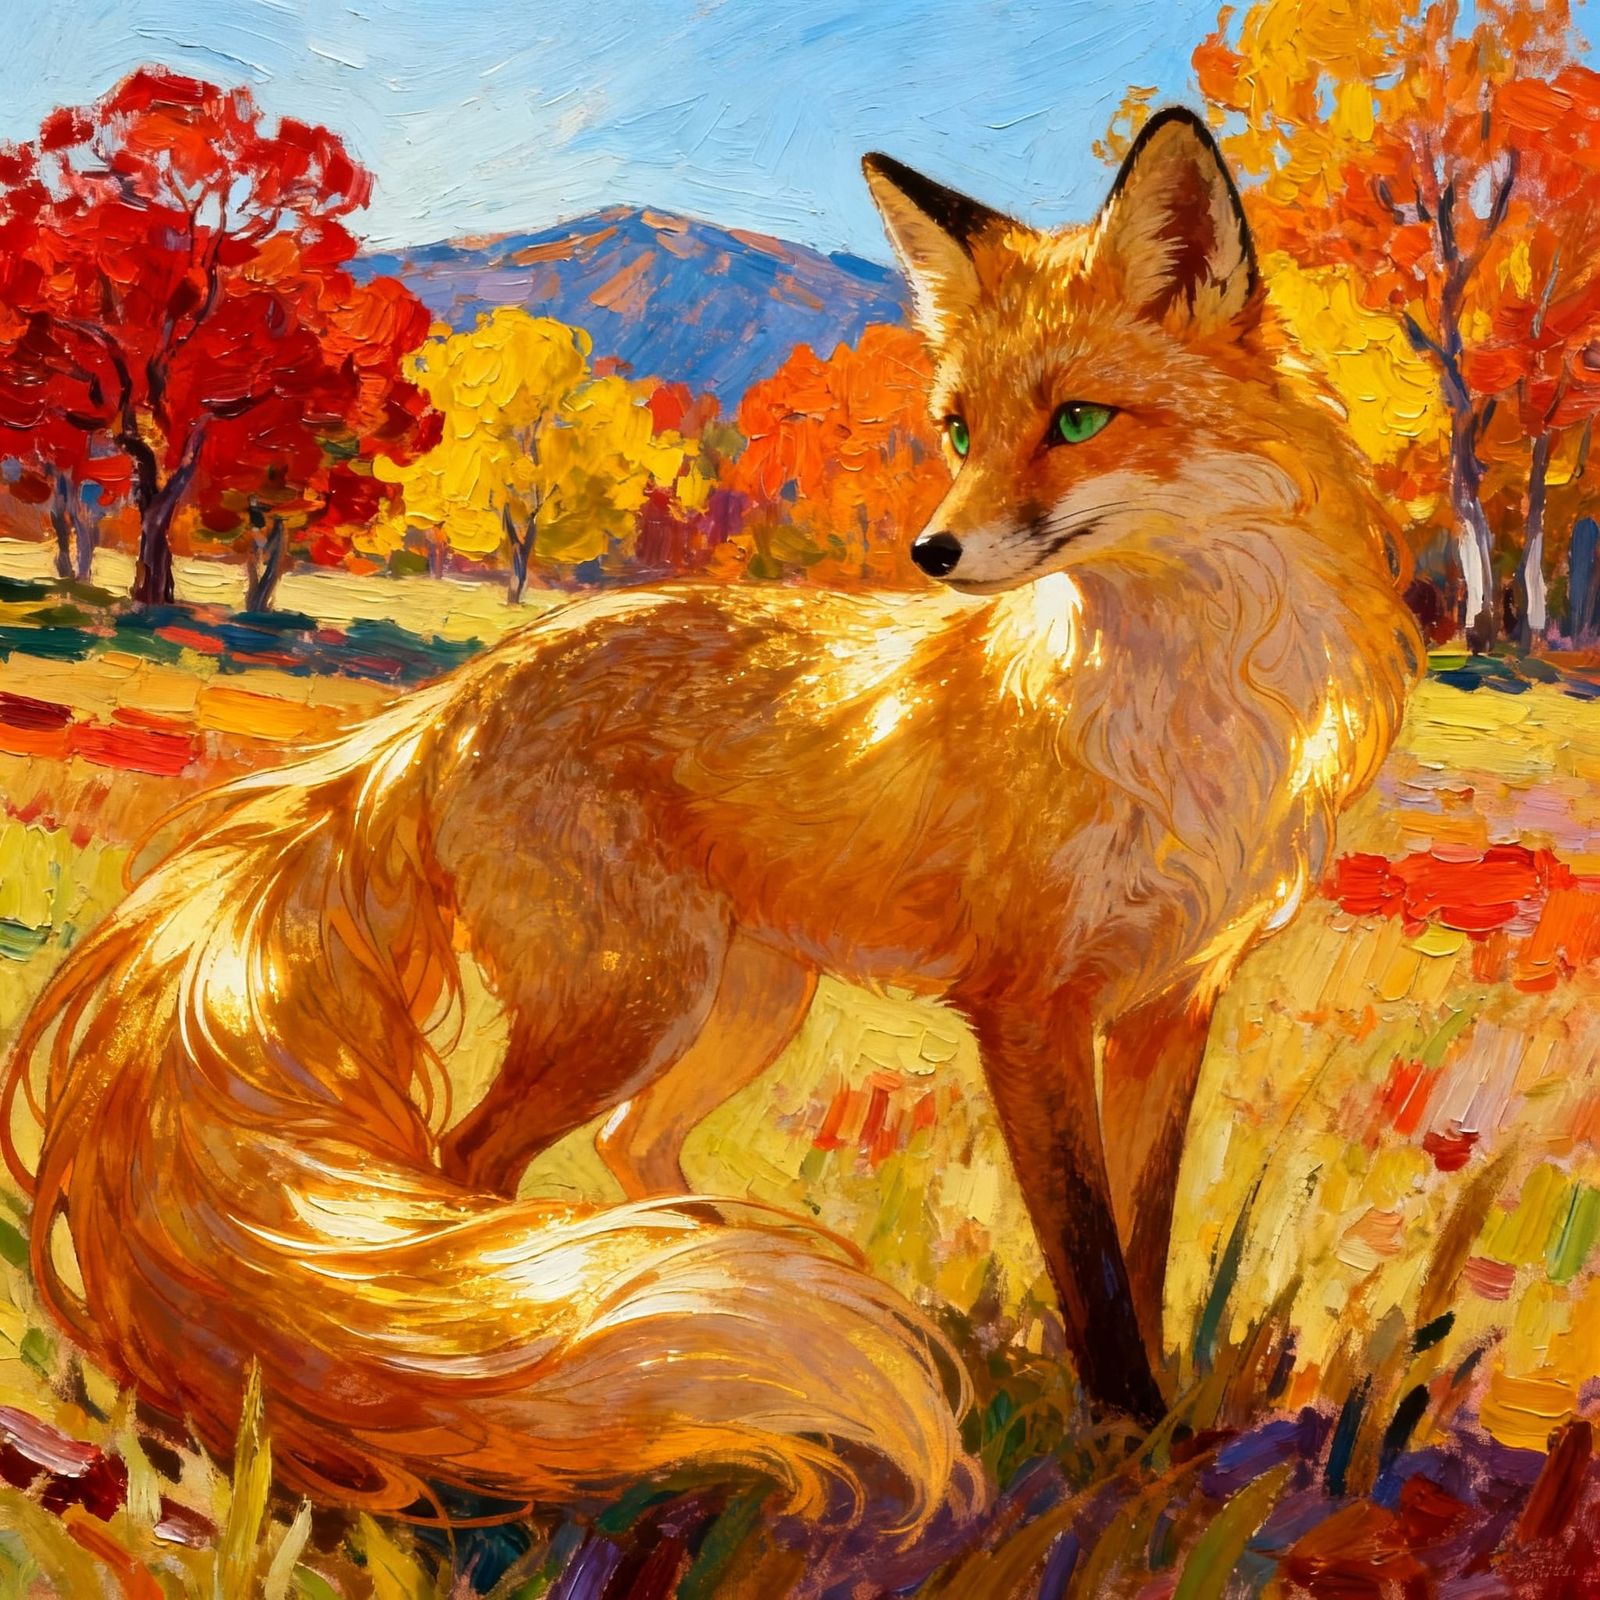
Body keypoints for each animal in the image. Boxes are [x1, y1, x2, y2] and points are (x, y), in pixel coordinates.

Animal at [2, 109, 1418, 1547]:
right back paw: (517, 1374)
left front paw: (1169, 1434)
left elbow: (1141, 1241)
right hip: (635, 1000)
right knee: (467, 1164)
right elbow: (1087, 1266)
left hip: (742, 1003)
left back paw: (684, 1289)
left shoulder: (1171, 1005)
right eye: (958, 427)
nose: (933, 553)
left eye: (1078, 419)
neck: (1189, 714)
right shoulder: (1028, 1011)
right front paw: (1129, 1457)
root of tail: (458, 696)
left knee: (628, 1144)